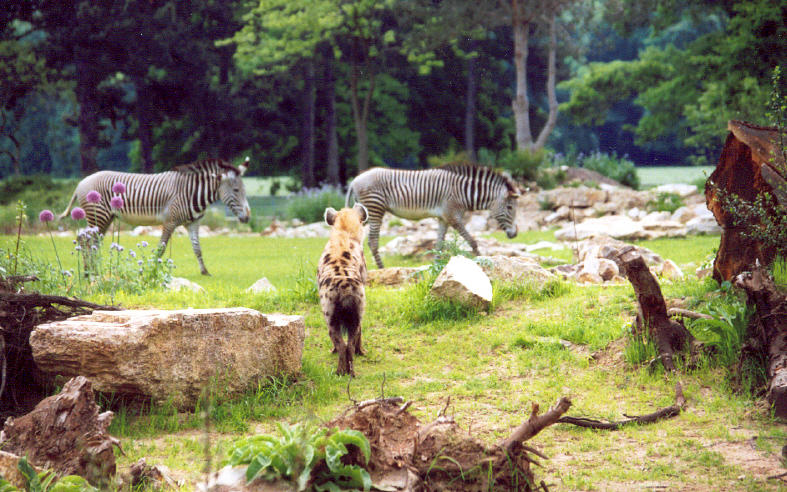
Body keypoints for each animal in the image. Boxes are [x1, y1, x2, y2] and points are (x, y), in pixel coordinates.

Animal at [60, 158, 251, 274]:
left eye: (244, 189)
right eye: (236, 190)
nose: (248, 218)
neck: (191, 192)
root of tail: (81, 183)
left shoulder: (193, 223)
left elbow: (197, 248)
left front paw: (205, 272)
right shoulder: (170, 221)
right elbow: (161, 248)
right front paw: (151, 270)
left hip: (105, 218)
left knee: (92, 241)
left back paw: (94, 269)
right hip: (98, 216)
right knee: (86, 239)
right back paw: (89, 271)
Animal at [346, 164, 524, 270]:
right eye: (510, 208)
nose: (514, 234)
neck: (463, 193)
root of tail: (354, 180)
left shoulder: (443, 218)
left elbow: (439, 244)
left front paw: (438, 267)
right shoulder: (453, 216)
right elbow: (472, 241)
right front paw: (481, 260)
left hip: (365, 212)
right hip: (375, 209)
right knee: (373, 241)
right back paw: (381, 268)